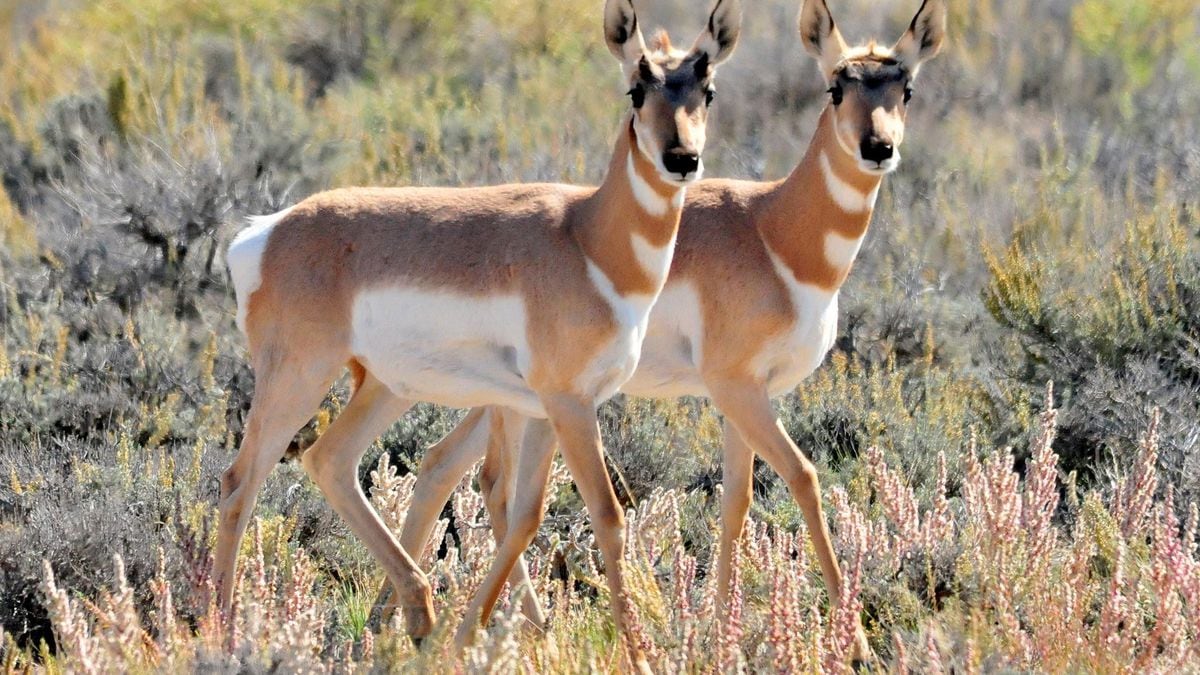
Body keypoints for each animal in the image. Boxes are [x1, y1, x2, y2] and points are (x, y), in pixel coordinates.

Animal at [217, 0, 739, 658]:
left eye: (708, 90)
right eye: (636, 88)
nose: (682, 160)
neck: (587, 237)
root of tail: (267, 230)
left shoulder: (544, 409)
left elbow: (527, 514)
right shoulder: (569, 405)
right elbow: (607, 515)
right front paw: (637, 651)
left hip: (383, 388)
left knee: (329, 460)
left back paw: (418, 614)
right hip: (299, 378)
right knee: (240, 482)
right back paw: (220, 627)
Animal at [374, 0, 945, 658]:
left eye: (906, 87)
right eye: (835, 87)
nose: (878, 147)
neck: (771, 231)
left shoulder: (749, 396)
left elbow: (736, 501)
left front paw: (721, 635)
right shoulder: (735, 387)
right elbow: (803, 476)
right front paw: (856, 647)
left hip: (512, 398)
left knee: (446, 465)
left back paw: (411, 623)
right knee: (481, 478)